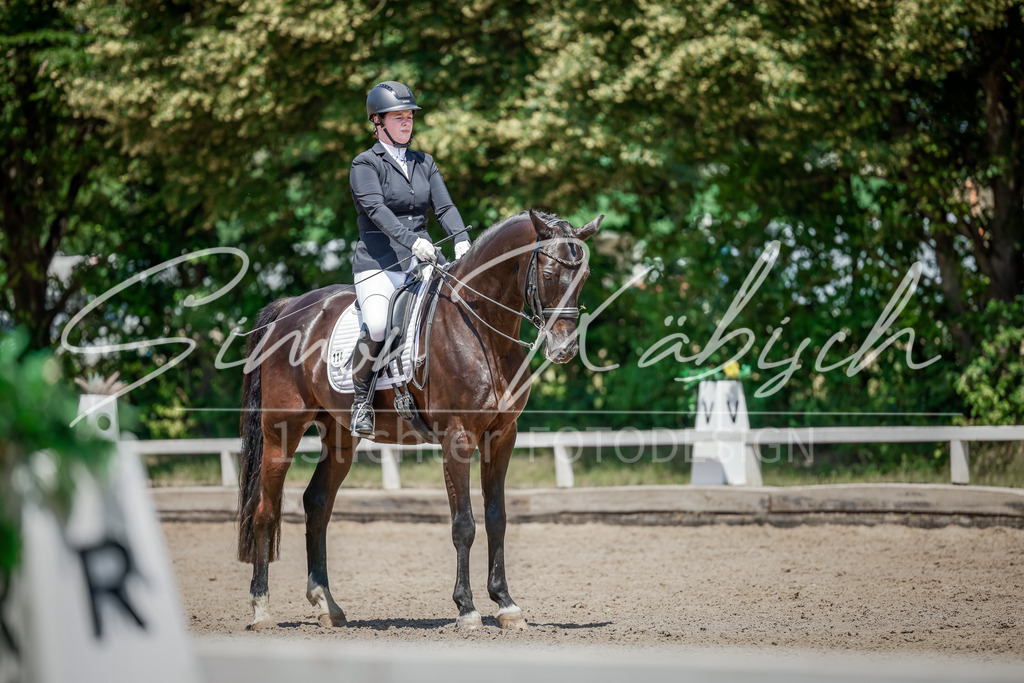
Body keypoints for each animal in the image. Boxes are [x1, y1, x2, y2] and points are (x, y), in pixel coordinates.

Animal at [236, 209, 603, 630]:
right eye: (548, 273)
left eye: (584, 276)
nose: (565, 348)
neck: (481, 326)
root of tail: (290, 309)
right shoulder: (458, 439)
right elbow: (464, 524)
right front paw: (467, 608)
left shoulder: (501, 436)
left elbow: (497, 518)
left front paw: (506, 604)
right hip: (282, 430)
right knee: (265, 509)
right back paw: (262, 609)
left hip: (340, 435)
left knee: (317, 505)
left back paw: (327, 604)